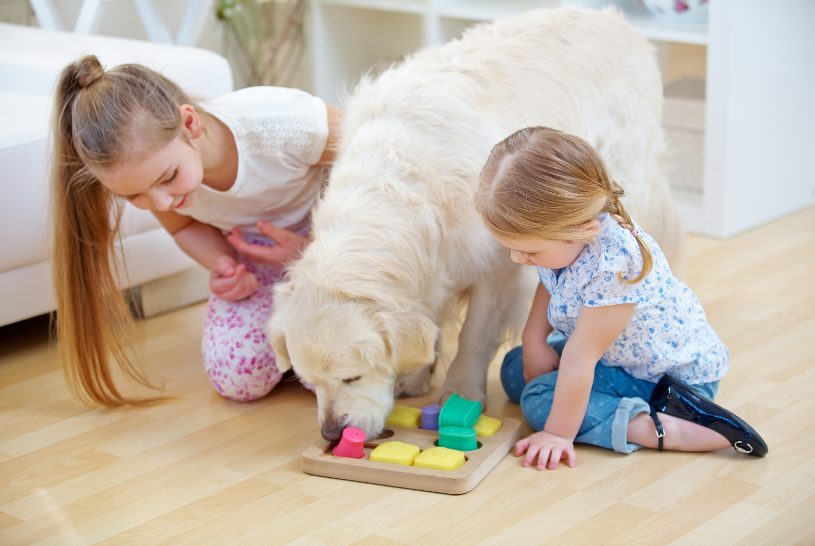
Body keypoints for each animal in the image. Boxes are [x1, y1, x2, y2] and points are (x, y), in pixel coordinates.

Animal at [270, 7, 684, 438]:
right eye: (309, 382)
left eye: (352, 377)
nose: (332, 434)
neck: (398, 184)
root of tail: (617, 18)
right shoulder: (431, 268)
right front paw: (416, 372)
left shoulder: (499, 265)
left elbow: (474, 333)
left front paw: (461, 390)